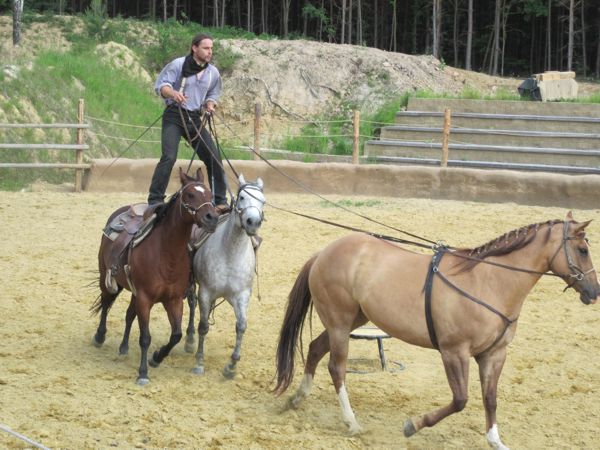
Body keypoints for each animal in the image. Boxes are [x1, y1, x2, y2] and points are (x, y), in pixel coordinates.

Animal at [91, 167, 218, 384]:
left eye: (210, 194)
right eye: (190, 194)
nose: (212, 217)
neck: (166, 254)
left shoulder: (173, 300)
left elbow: (176, 335)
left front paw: (157, 357)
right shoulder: (145, 299)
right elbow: (145, 337)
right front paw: (143, 373)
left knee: (128, 315)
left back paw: (123, 347)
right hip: (106, 278)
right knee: (106, 304)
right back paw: (100, 336)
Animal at [185, 174, 264, 378]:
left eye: (263, 201)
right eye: (242, 197)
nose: (253, 222)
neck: (230, 254)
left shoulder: (241, 296)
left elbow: (241, 326)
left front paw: (232, 365)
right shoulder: (205, 292)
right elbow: (203, 325)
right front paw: (199, 362)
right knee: (192, 305)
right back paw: (189, 340)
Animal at [274, 213, 596, 448]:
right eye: (582, 250)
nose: (595, 292)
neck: (489, 281)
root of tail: (324, 253)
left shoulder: (494, 354)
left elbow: (490, 398)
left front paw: (495, 441)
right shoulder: (454, 352)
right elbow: (460, 400)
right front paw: (412, 426)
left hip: (352, 320)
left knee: (315, 349)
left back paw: (297, 398)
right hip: (341, 325)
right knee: (336, 368)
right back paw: (351, 422)